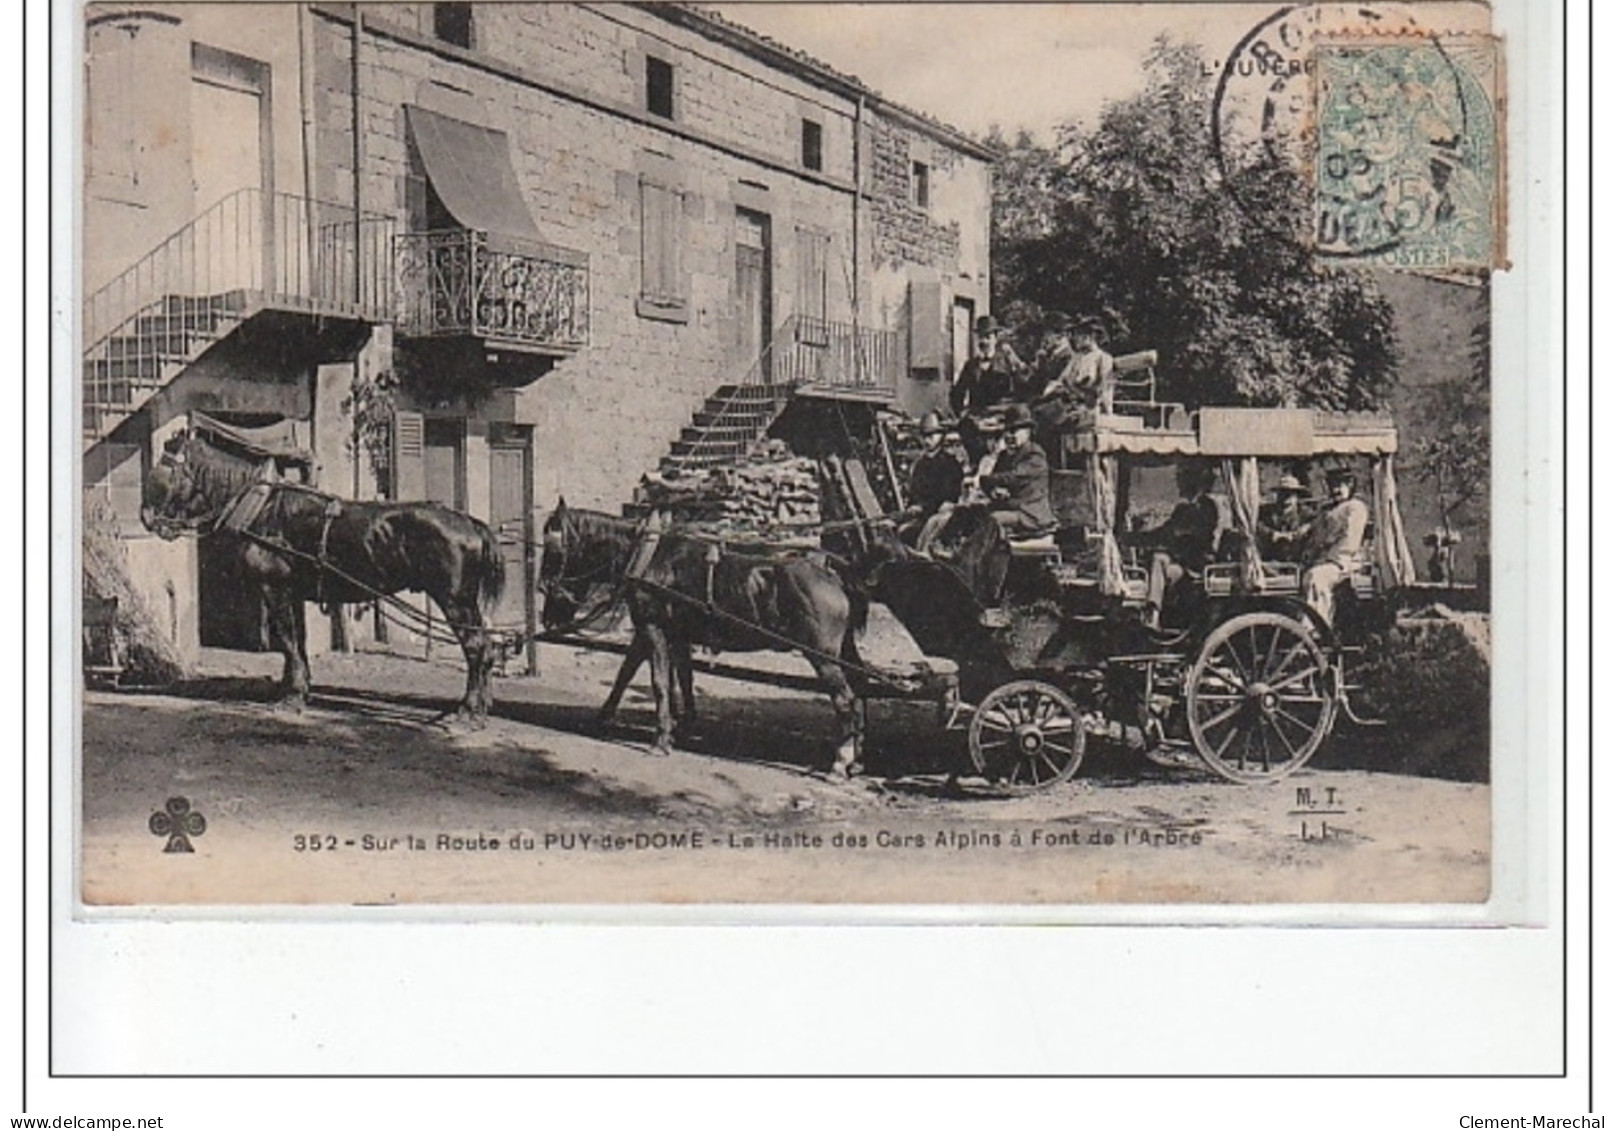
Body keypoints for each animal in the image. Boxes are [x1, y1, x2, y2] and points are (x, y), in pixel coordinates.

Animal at [148, 423, 507, 723]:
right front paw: (295, 688)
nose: (147, 518)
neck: (264, 508)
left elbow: (288, 641)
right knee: (486, 648)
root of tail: (470, 523)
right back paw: (481, 707)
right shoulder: (291, 593)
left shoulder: (275, 589)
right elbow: (297, 643)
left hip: (455, 600)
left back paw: (467, 711)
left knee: (476, 647)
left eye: (164, 470)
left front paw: (292, 697)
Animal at [539, 504, 872, 778]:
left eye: (553, 551)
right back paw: (856, 759)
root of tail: (831, 571)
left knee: (845, 700)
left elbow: (659, 683)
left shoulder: (653, 628)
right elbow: (654, 676)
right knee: (860, 690)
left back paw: (840, 762)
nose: (547, 614)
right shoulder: (672, 634)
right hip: (843, 650)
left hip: (822, 655)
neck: (650, 556)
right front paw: (618, 718)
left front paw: (661, 738)